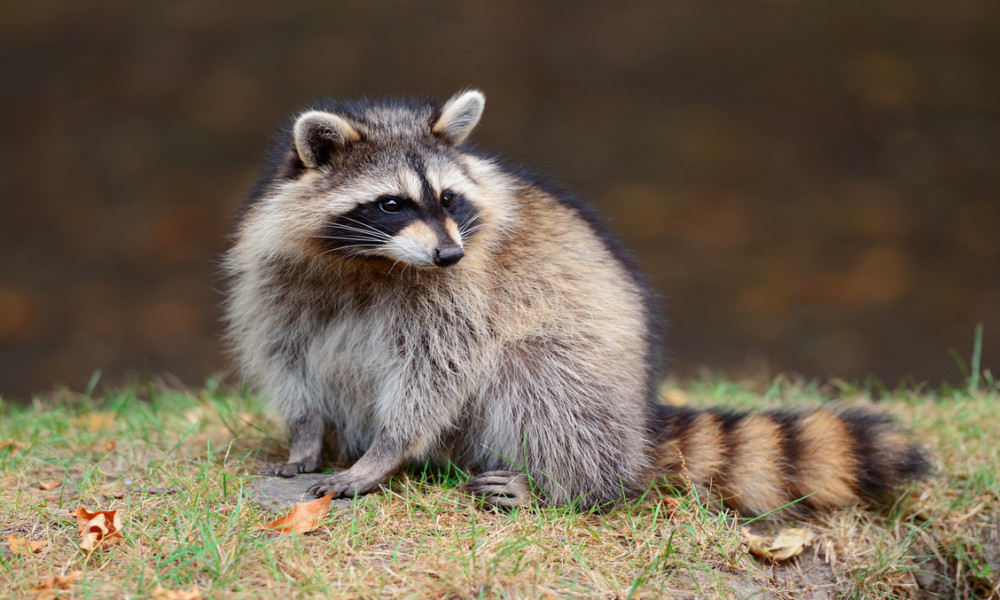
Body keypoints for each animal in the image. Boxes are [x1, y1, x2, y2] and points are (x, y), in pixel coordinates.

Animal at [227, 91, 928, 512]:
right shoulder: (277, 275)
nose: (449, 254)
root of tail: (639, 420)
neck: (372, 262)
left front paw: (385, 451)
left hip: (590, 377)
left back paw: (562, 484)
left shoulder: (462, 294)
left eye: (448, 198)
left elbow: (436, 371)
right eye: (392, 203)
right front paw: (306, 432)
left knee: (539, 378)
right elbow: (286, 355)